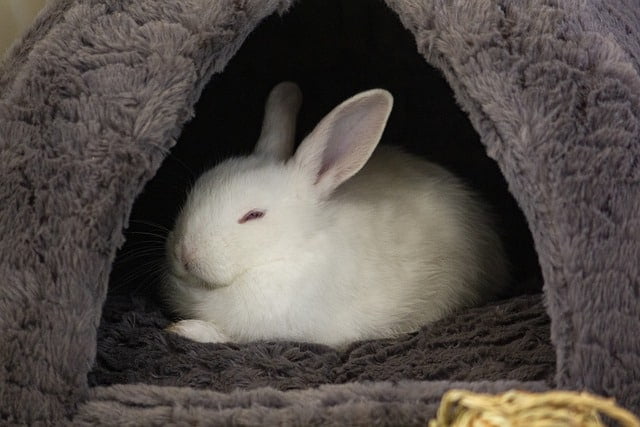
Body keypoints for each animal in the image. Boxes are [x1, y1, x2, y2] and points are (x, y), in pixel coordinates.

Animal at [163, 81, 509, 347]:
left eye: (253, 215)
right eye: (197, 189)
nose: (185, 253)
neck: (287, 254)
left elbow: (231, 336)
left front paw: (187, 330)